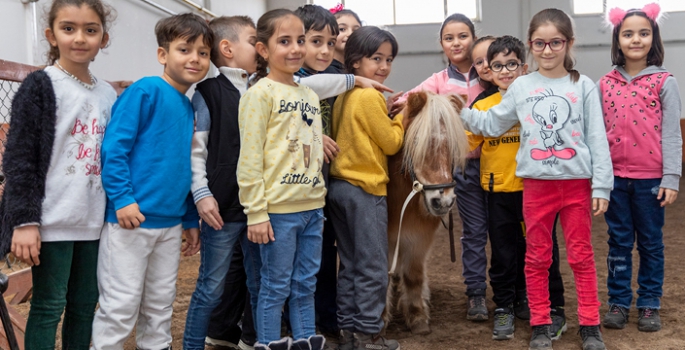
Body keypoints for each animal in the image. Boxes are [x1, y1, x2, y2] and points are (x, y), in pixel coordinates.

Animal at [382, 91, 468, 334]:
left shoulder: (419, 238)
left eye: (451, 147)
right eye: (417, 142)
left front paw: (417, 316)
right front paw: (380, 320)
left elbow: (414, 275)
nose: (443, 201)